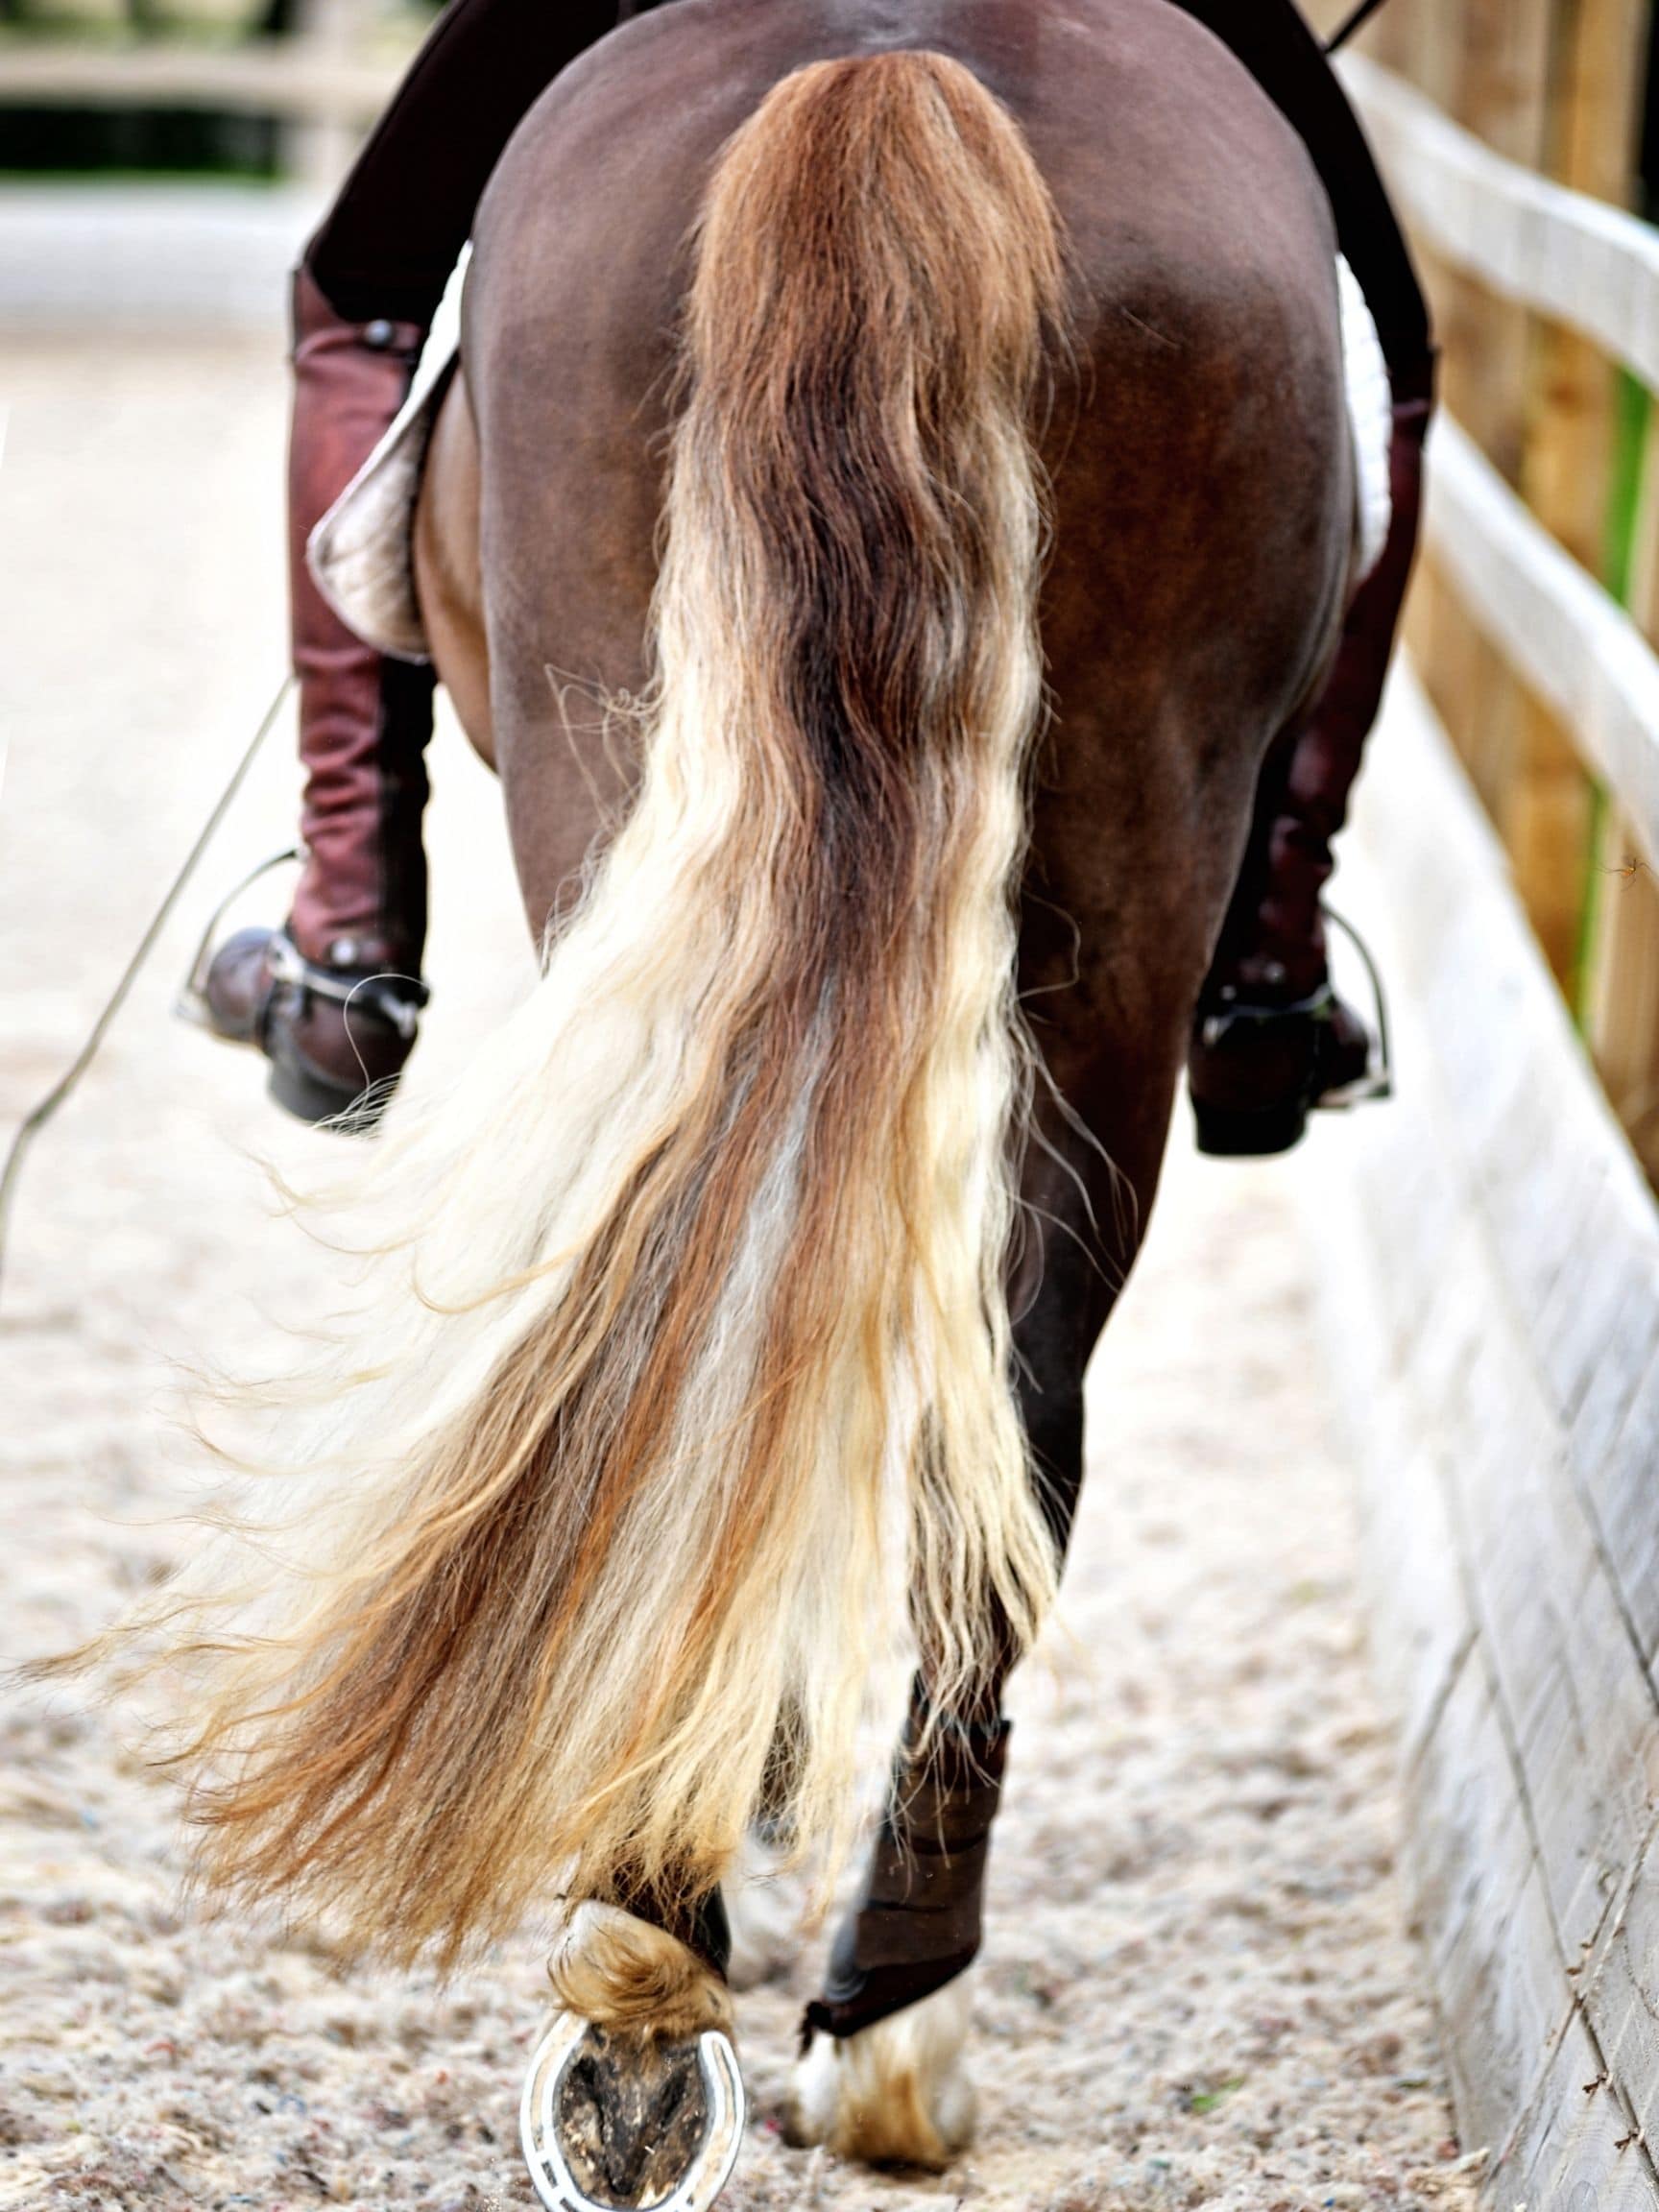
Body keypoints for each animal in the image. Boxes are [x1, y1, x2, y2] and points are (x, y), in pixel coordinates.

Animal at [173, 1, 1358, 2201]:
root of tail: (896, 66)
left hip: (627, 775)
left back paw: (685, 1976)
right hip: (1115, 875)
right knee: (990, 1397)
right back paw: (856, 1996)